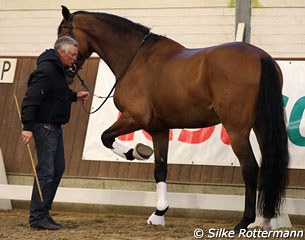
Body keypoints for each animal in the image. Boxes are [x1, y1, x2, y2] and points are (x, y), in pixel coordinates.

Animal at [57, 5, 288, 231]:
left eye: (63, 33)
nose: (65, 72)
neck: (137, 59)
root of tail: (259, 56)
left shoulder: (135, 118)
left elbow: (105, 137)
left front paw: (135, 152)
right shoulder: (159, 129)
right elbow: (160, 169)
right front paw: (159, 213)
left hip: (237, 130)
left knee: (250, 168)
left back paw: (245, 221)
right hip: (261, 126)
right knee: (270, 166)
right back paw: (267, 218)